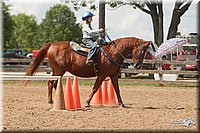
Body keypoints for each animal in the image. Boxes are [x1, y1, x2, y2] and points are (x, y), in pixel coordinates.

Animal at [25, 36, 153, 107]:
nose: (138, 65)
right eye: (143, 51)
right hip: (58, 71)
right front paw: (87, 103)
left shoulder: (114, 75)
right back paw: (52, 101)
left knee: (52, 83)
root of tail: (52, 45)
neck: (113, 52)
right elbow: (95, 88)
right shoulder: (102, 76)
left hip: (57, 71)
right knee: (52, 83)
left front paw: (122, 104)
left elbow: (117, 89)